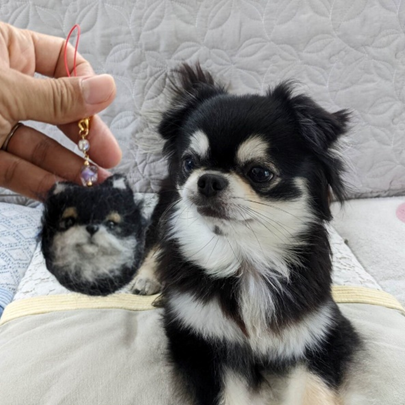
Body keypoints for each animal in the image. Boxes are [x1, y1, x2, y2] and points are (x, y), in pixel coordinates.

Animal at [132, 64, 361, 405]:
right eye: (189, 162)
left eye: (260, 173)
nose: (208, 179)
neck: (244, 256)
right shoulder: (203, 344)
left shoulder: (322, 335)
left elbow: (311, 391)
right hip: (166, 208)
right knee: (157, 244)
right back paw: (147, 278)